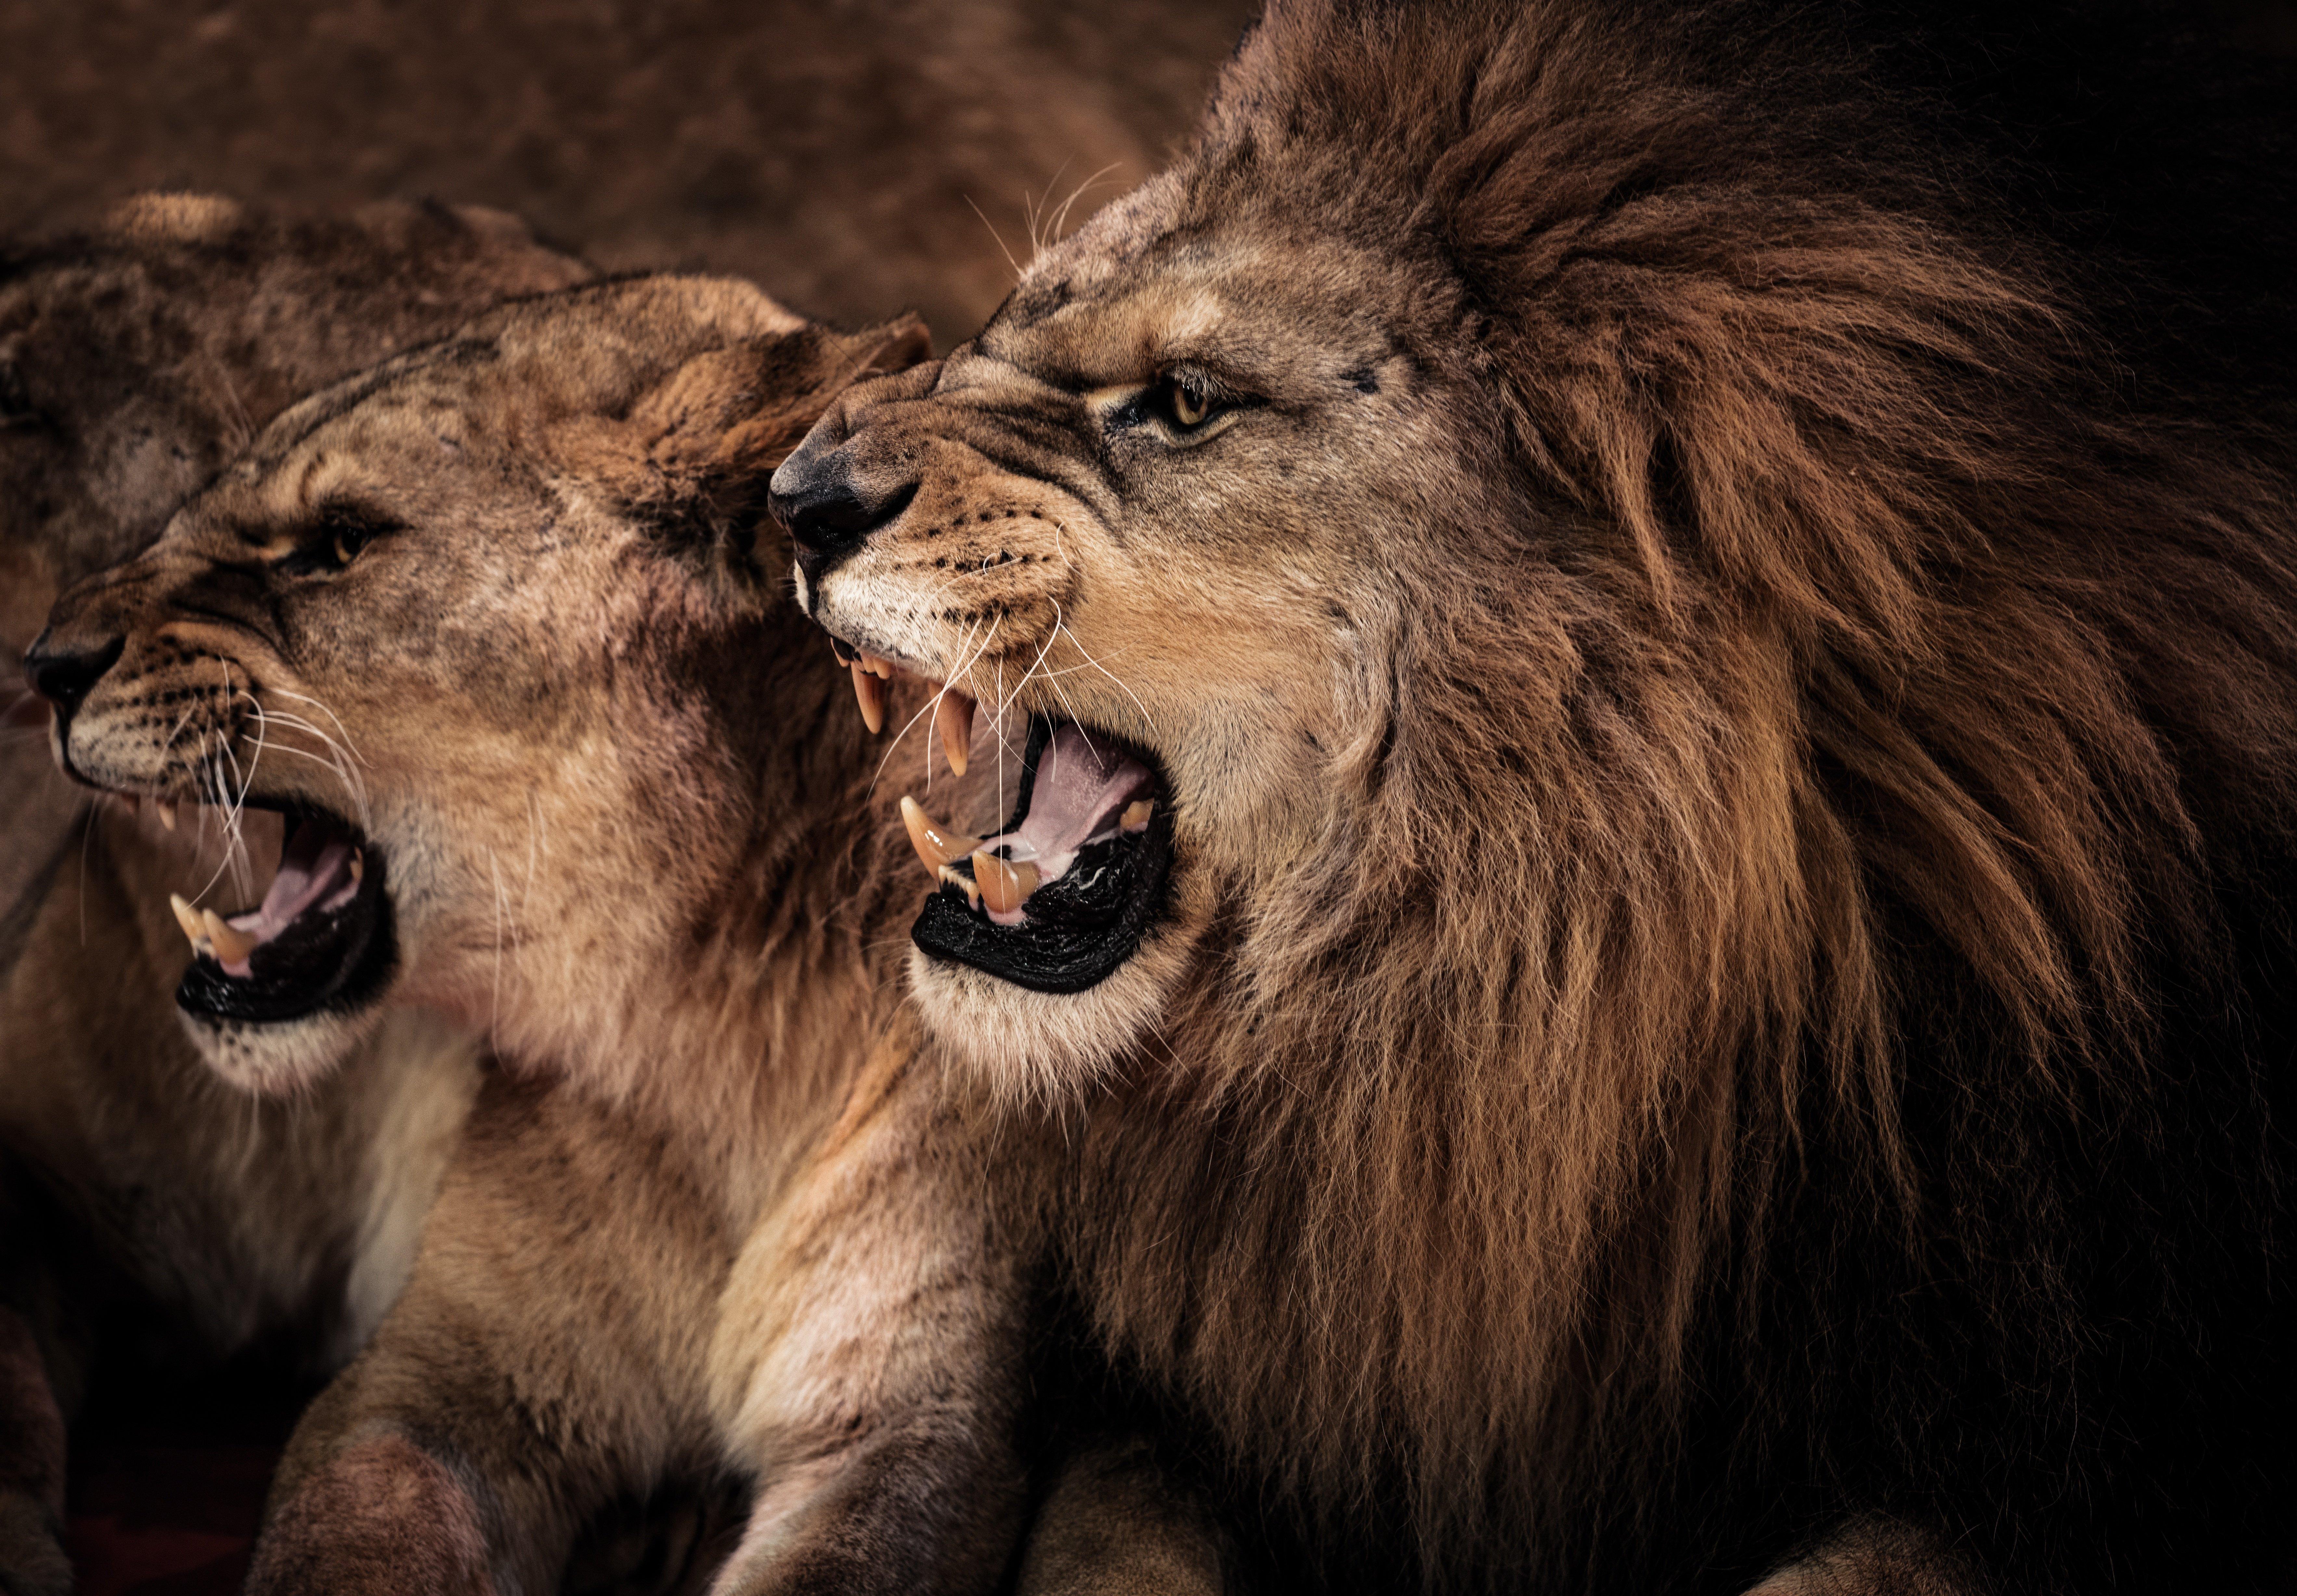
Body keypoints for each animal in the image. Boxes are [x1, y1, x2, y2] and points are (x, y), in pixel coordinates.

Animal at [28, 271, 1230, 1596]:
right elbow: (352, 1533)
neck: (709, 1005)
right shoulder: (440, 1373)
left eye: (337, 542)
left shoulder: (913, 1428)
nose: (44, 664)